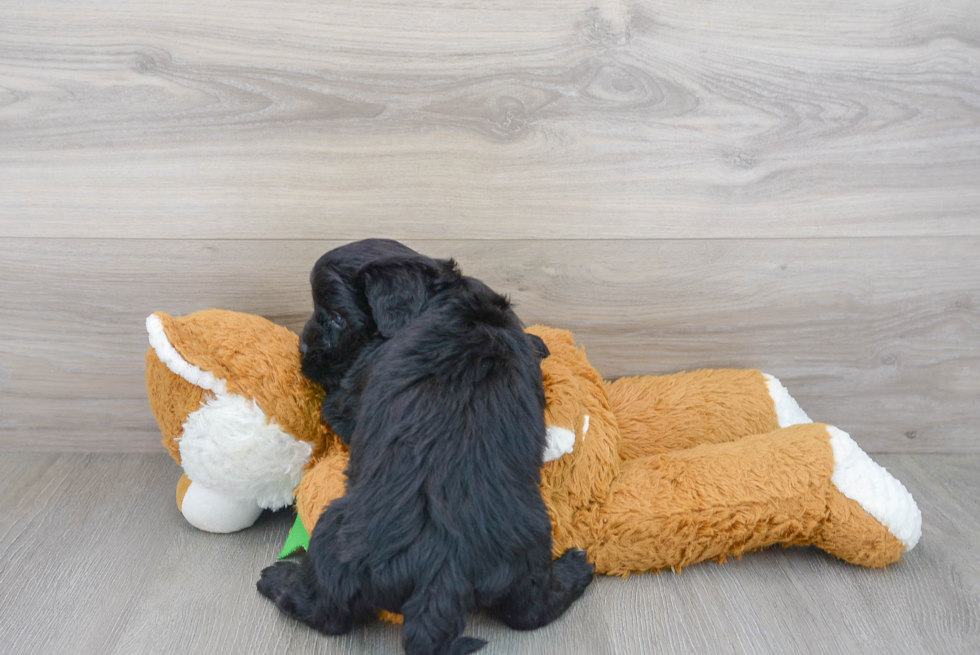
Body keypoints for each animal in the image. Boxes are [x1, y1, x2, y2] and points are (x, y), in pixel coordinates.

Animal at [258, 241, 588, 655]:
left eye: (335, 316)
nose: (302, 347)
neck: (443, 299)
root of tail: (442, 573)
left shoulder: (351, 395)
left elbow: (337, 406)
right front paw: (538, 344)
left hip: (334, 533)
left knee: (328, 611)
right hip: (528, 543)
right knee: (528, 611)